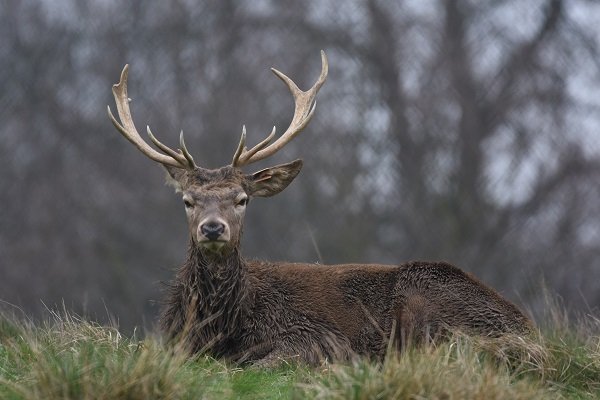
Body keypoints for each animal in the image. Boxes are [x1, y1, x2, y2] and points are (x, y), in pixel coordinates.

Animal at [106, 51, 528, 368]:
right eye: (188, 200)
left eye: (242, 199)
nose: (212, 228)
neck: (223, 326)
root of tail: (526, 329)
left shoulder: (314, 337)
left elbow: (259, 365)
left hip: (426, 302)